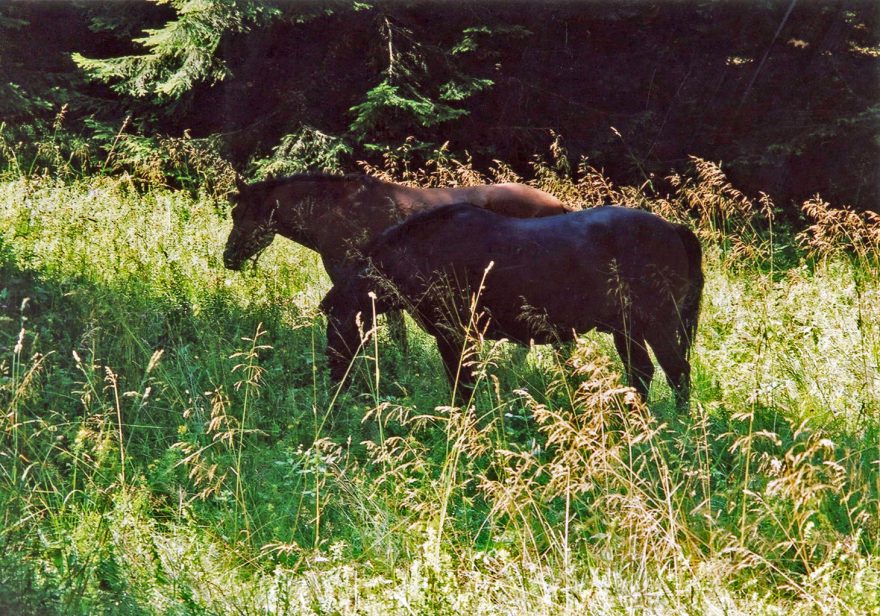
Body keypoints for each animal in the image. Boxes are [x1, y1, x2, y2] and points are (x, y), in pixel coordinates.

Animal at [320, 203, 704, 410]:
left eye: (333, 322)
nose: (333, 380)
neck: (417, 253)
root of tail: (674, 229)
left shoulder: (454, 335)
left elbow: (461, 386)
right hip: (628, 330)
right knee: (642, 374)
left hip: (657, 324)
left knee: (677, 372)